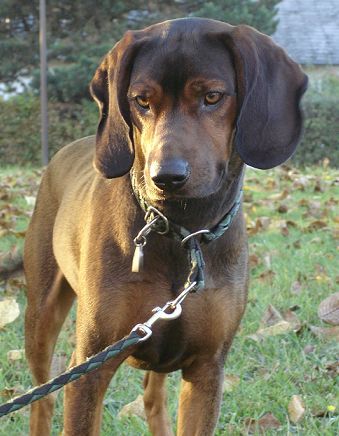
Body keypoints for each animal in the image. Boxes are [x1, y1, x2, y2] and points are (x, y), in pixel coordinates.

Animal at [23, 17, 308, 436]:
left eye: (212, 96)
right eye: (142, 100)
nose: (166, 177)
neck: (183, 233)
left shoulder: (207, 369)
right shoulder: (89, 368)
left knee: (152, 396)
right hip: (42, 312)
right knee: (42, 396)